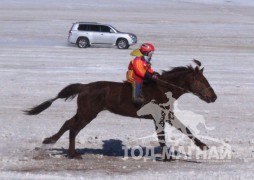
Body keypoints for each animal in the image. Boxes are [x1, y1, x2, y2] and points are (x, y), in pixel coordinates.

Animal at [25, 60, 216, 159]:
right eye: (201, 81)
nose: (214, 97)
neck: (163, 89)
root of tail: (84, 87)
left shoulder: (164, 116)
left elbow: (176, 132)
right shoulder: (162, 116)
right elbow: (172, 133)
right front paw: (172, 155)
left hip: (85, 112)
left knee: (68, 123)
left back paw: (52, 141)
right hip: (88, 113)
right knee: (73, 127)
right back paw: (72, 153)